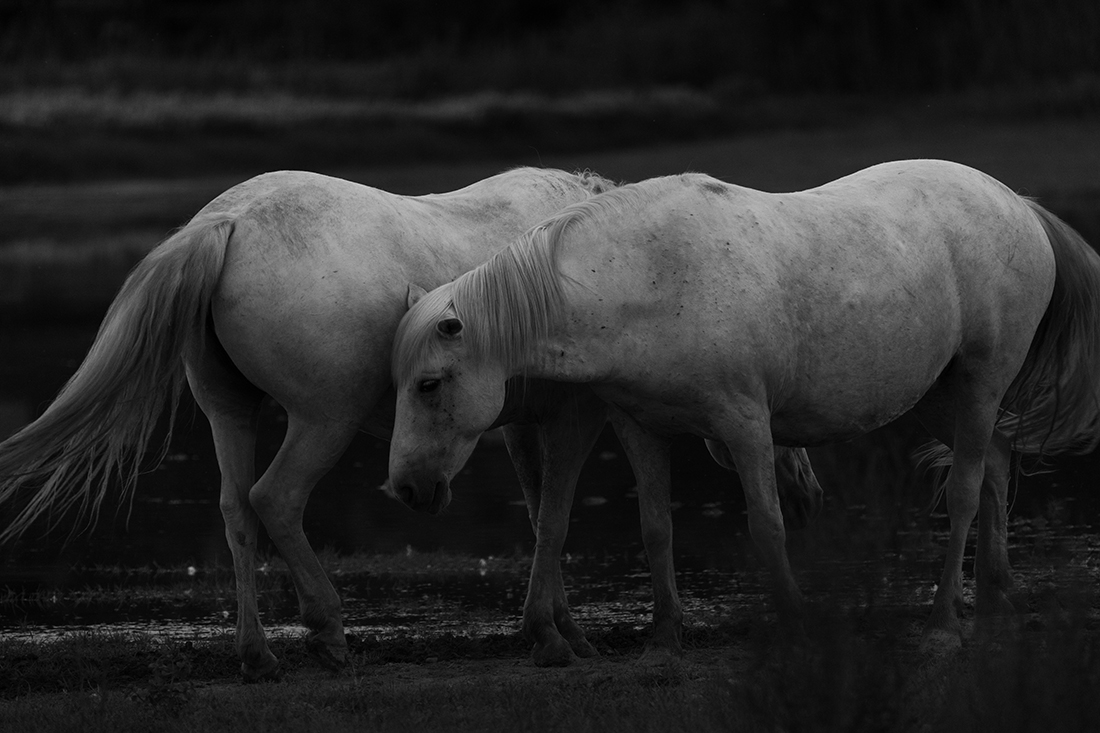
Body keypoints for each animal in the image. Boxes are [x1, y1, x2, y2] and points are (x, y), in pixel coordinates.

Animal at [388, 159, 1100, 649]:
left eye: (429, 384)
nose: (408, 488)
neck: (649, 277)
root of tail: (1018, 204)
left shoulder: (745, 426)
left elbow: (767, 525)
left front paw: (795, 619)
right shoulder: (640, 429)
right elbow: (656, 527)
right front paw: (665, 637)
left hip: (979, 383)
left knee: (966, 493)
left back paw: (946, 619)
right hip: (935, 394)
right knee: (995, 474)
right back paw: (998, 598)